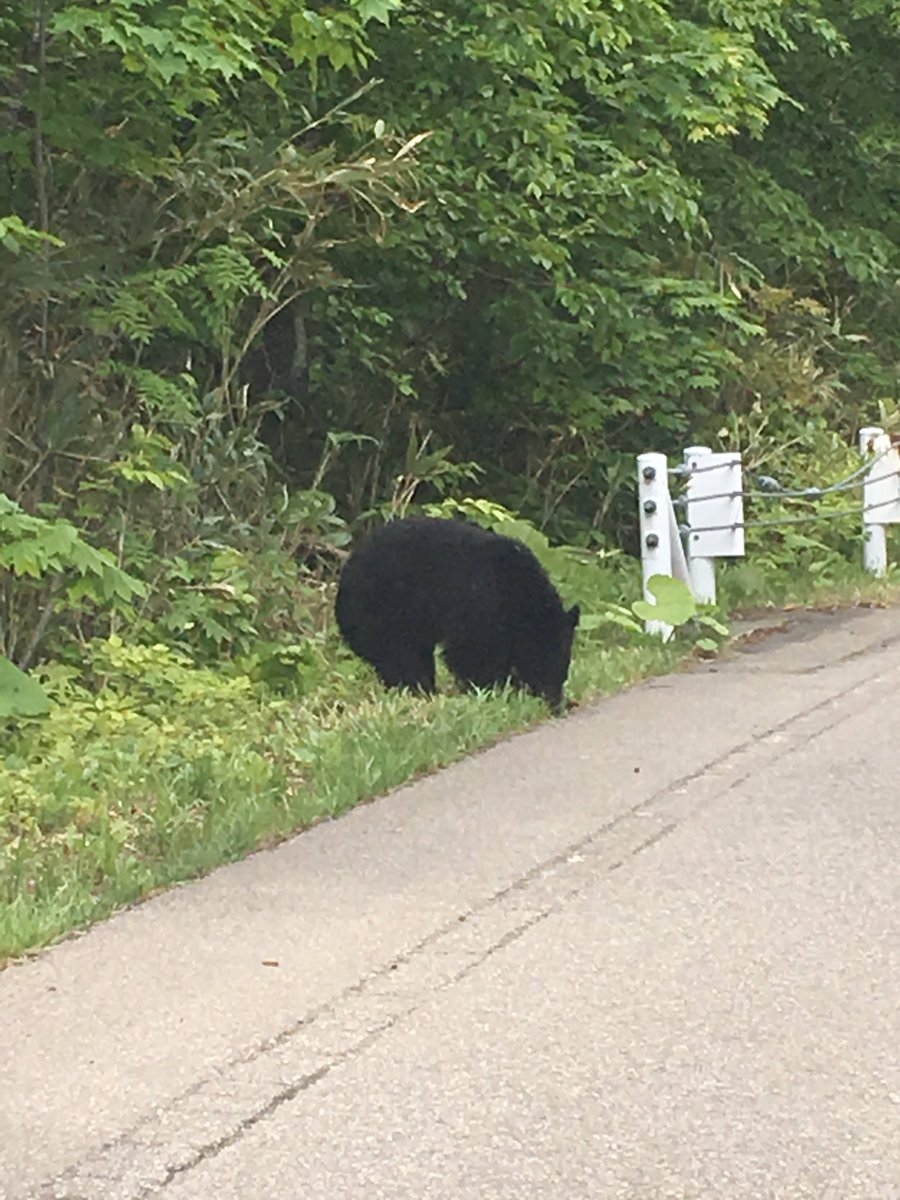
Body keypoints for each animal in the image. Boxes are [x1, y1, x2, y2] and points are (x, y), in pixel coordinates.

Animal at [336, 518, 580, 710]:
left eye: (564, 669)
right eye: (545, 664)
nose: (556, 703)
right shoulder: (480, 603)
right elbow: (472, 652)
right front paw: (488, 689)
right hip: (383, 611)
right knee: (400, 655)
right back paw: (420, 690)